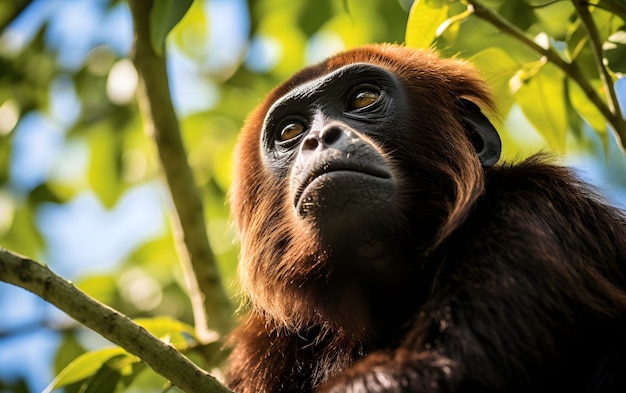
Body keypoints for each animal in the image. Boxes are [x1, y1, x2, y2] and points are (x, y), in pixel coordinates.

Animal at [224, 43, 624, 392]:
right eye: (291, 131)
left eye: (362, 99)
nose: (321, 138)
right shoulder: (266, 341)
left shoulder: (530, 211)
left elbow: (446, 368)